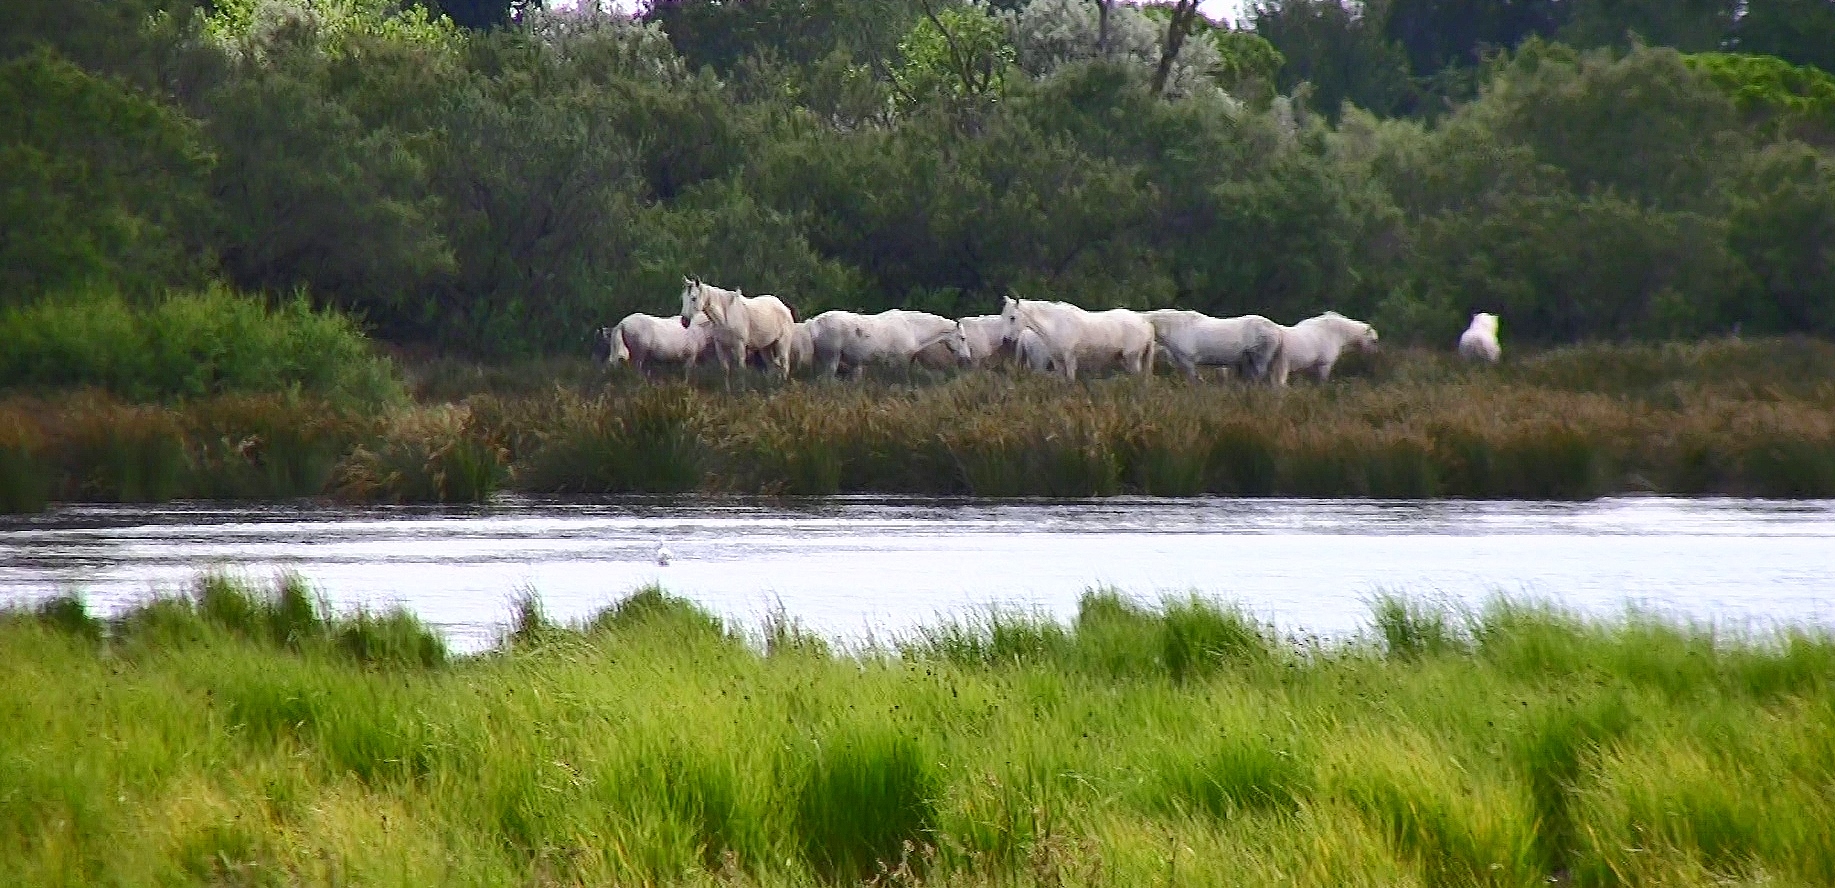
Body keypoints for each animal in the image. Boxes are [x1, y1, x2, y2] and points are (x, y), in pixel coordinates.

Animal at [998, 296, 1155, 382]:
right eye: (1003, 316)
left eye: (1012, 317)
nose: (1005, 339)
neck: (1056, 324)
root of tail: (1145, 323)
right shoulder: (1058, 362)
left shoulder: (1070, 359)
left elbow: (1070, 380)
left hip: (1132, 358)